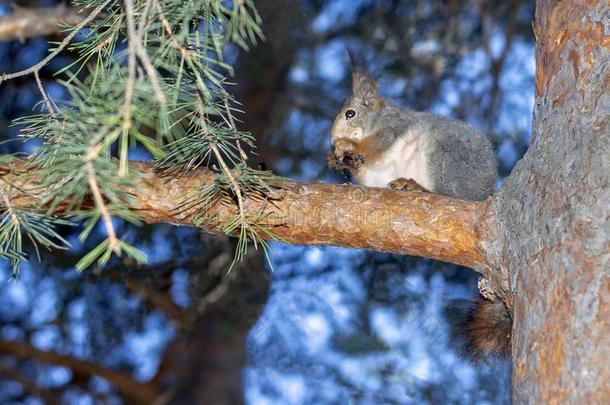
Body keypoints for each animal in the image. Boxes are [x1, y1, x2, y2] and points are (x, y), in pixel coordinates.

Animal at [328, 51, 508, 360]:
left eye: (350, 113)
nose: (331, 139)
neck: (377, 118)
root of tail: (484, 191)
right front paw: (338, 160)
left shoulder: (390, 130)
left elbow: (375, 146)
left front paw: (345, 148)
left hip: (444, 157)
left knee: (452, 195)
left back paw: (417, 186)